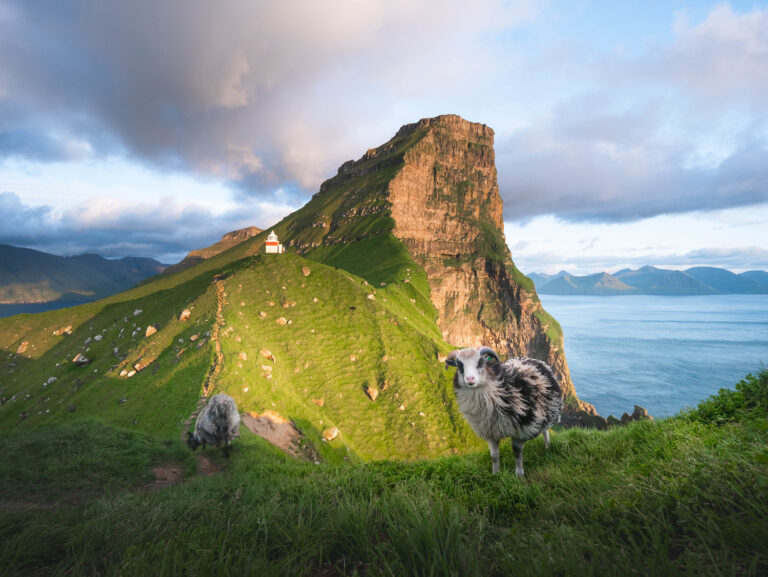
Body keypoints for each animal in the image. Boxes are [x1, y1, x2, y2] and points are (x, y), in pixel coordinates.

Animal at [445, 347, 562, 477]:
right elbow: (494, 456)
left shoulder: (520, 430)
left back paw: (547, 447)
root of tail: (532, 359)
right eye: (459, 364)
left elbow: (517, 452)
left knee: (545, 430)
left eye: (481, 361)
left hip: (547, 410)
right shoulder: (490, 431)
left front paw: (519, 474)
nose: (470, 379)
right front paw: (495, 474)